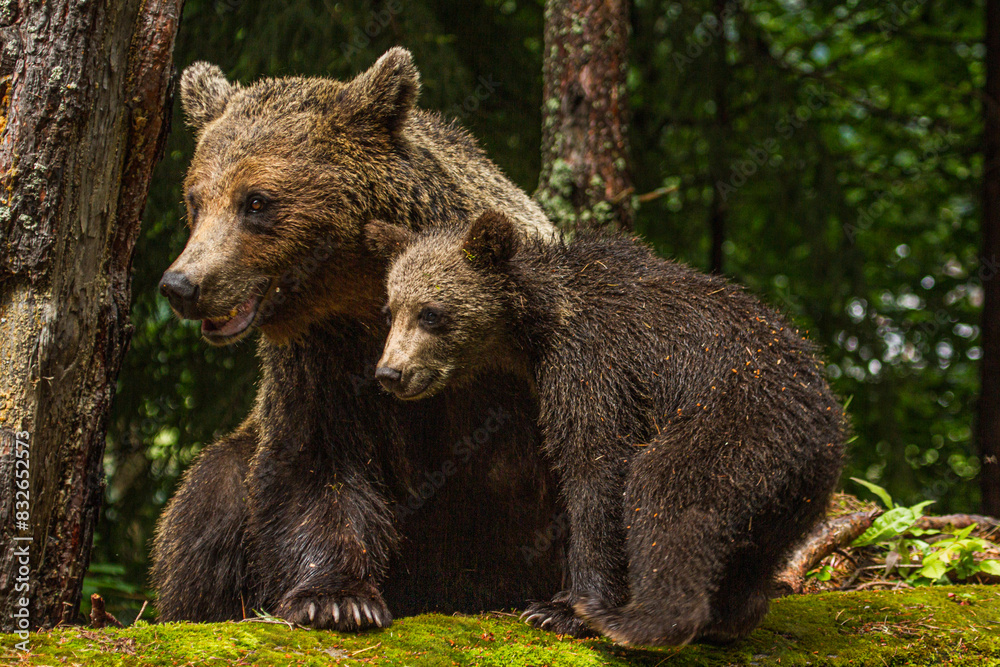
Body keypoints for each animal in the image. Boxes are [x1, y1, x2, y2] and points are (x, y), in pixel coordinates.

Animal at [151, 48, 567, 631]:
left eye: (255, 201)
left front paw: (566, 606)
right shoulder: (324, 359)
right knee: (209, 506)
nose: (182, 285)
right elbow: (320, 467)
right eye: (194, 199)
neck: (365, 294)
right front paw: (336, 599)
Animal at [365, 210, 847, 645]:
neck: (537, 324)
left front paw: (563, 608)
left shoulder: (596, 364)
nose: (390, 373)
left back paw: (640, 621)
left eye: (430, 313)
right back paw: (730, 618)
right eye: (390, 311)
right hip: (789, 489)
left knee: (667, 492)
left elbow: (597, 470)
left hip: (736, 426)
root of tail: (830, 420)